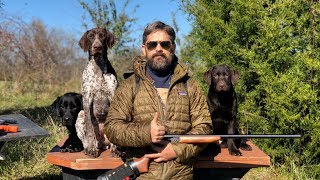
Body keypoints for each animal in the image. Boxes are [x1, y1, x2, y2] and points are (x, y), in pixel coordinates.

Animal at [76, 27, 117, 158]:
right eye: (90, 36)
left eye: (103, 36)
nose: (97, 47)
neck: (98, 68)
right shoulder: (87, 98)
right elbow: (89, 128)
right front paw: (91, 149)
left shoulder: (113, 96)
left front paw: (116, 149)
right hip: (80, 114)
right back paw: (88, 147)